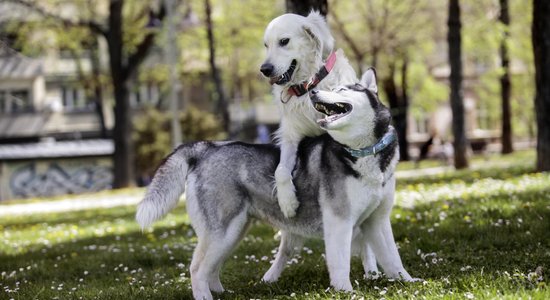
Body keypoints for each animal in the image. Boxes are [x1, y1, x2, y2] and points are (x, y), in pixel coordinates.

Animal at [136, 69, 416, 298]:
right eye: (335, 88)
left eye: (342, 90)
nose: (313, 91)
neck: (364, 152)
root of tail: (206, 147)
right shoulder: (339, 221)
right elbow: (340, 263)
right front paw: (344, 291)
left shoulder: (377, 221)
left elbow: (393, 258)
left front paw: (408, 282)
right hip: (222, 231)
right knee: (196, 268)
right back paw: (205, 296)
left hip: (234, 231)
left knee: (210, 268)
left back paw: (220, 292)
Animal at [262, 11, 360, 218]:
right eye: (266, 45)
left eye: (284, 41)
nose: (264, 69)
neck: (307, 86)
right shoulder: (290, 137)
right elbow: (280, 170)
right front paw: (287, 202)